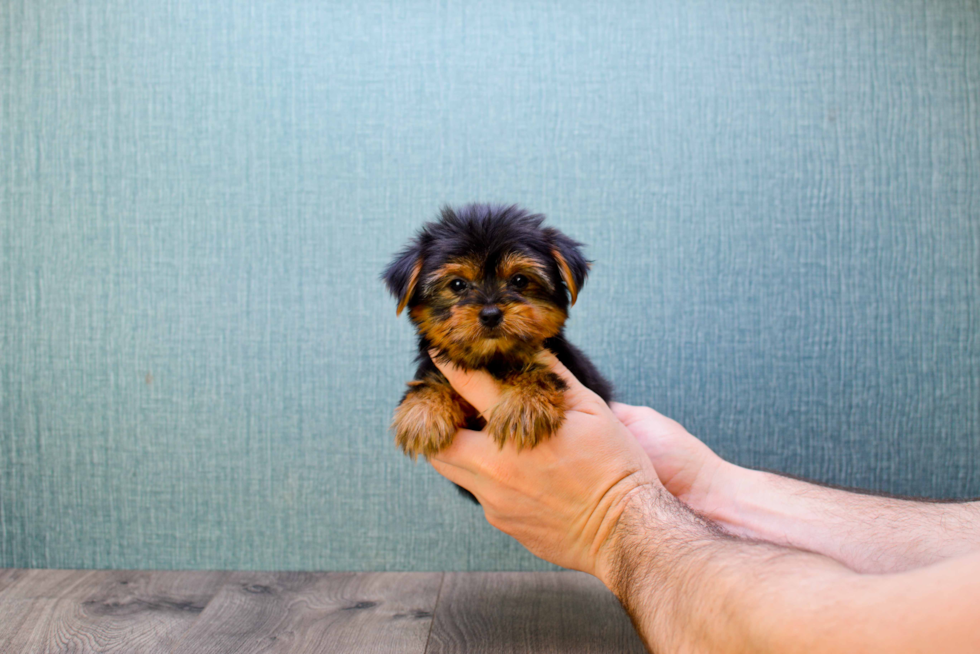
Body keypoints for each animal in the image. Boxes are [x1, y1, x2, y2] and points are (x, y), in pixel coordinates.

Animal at [382, 205, 612, 462]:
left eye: (520, 280)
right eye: (458, 285)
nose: (491, 314)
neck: (493, 360)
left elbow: (541, 374)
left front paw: (525, 404)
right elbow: (430, 381)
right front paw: (425, 410)